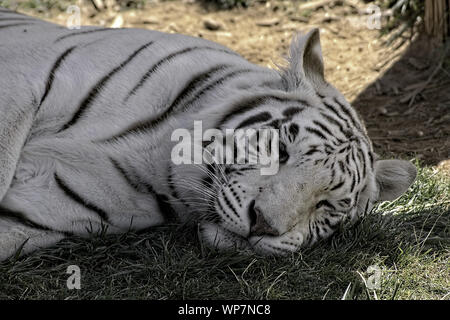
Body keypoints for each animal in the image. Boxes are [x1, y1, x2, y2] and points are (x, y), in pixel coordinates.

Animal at [0, 8, 418, 260]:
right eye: (281, 149)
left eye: (327, 205)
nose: (262, 223)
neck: (155, 161)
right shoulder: (20, 81)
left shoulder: (38, 210)